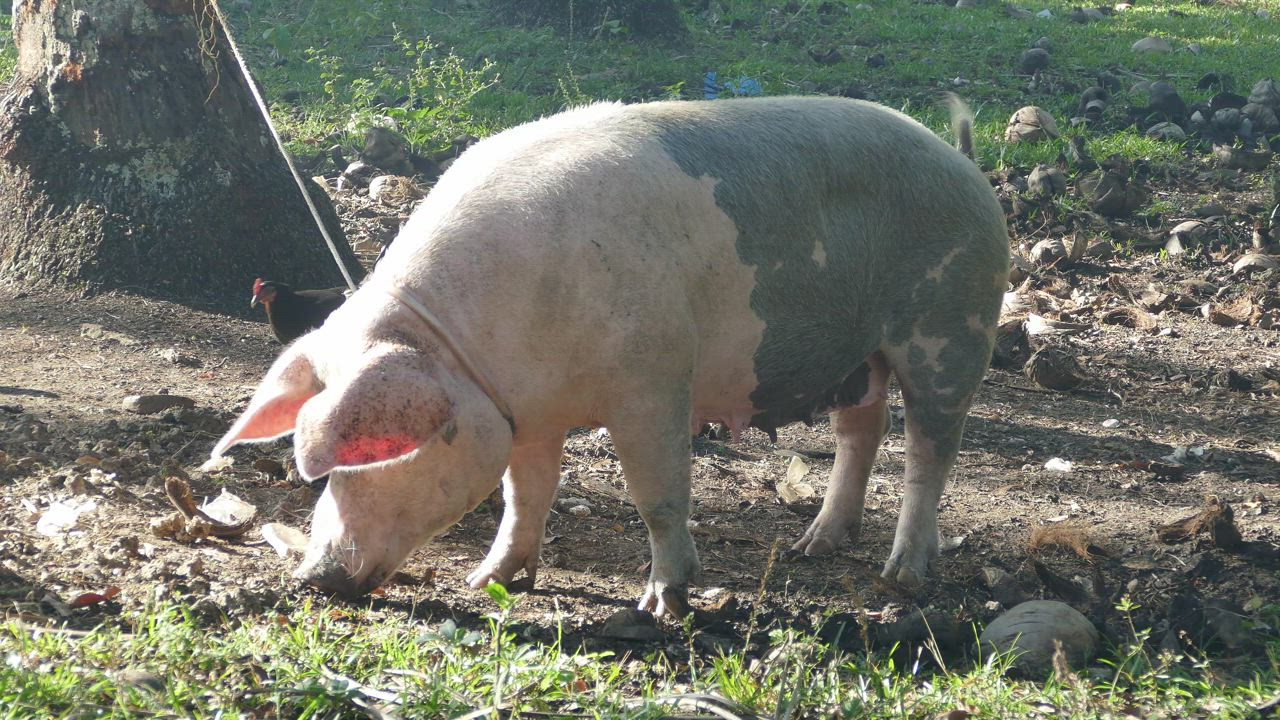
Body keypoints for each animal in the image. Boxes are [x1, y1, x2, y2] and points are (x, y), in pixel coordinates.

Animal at [212, 96, 1009, 617]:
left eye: (370, 456)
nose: (312, 577)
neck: (471, 346)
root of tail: (967, 167)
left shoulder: (652, 381)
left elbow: (657, 494)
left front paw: (664, 604)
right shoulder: (526, 414)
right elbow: (524, 494)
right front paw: (488, 582)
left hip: (951, 327)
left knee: (930, 450)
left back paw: (902, 579)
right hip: (861, 355)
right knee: (863, 429)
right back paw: (813, 545)